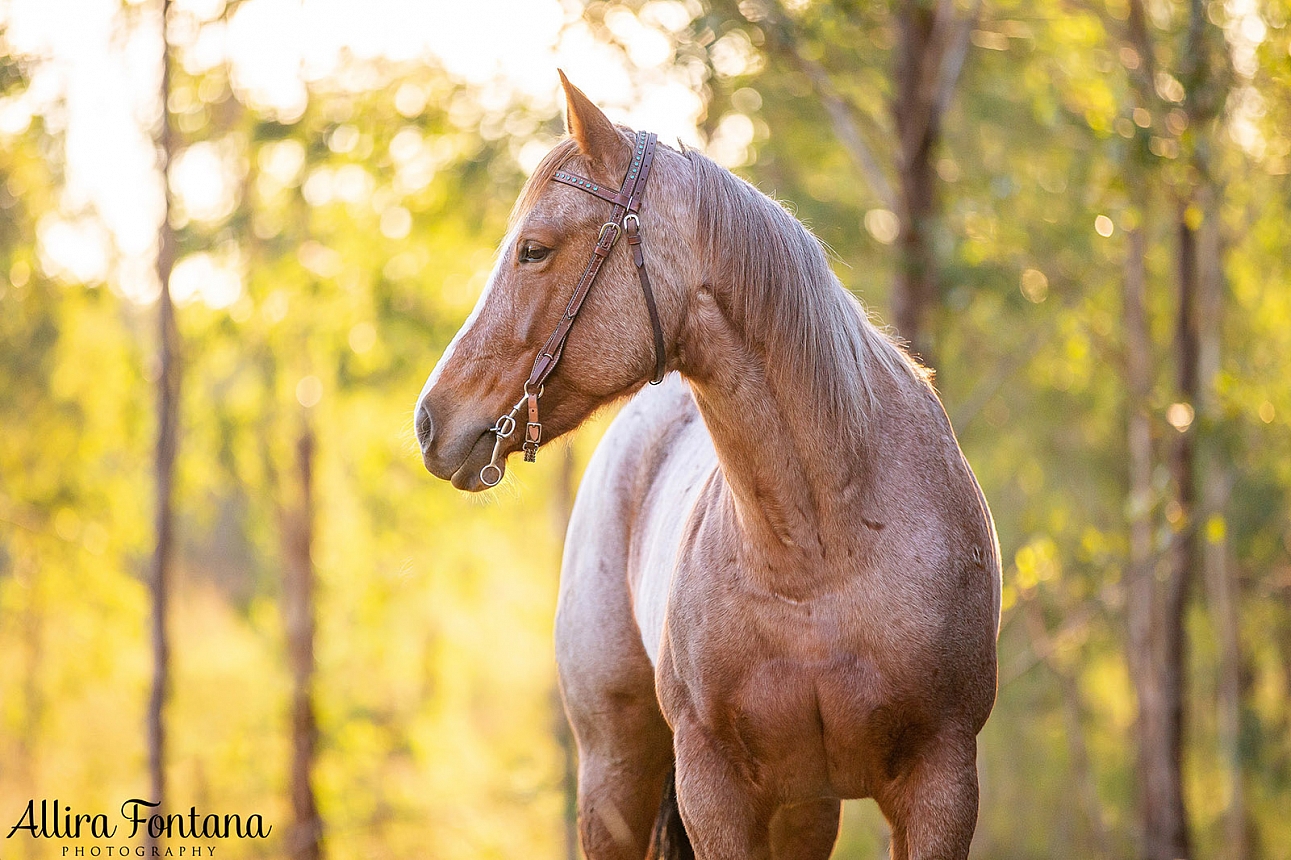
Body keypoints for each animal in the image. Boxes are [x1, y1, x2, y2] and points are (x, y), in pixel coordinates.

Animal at [418, 73, 1001, 857]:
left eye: (533, 250)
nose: (430, 420)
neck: (821, 551)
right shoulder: (715, 791)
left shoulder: (939, 786)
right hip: (614, 777)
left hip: (801, 810)